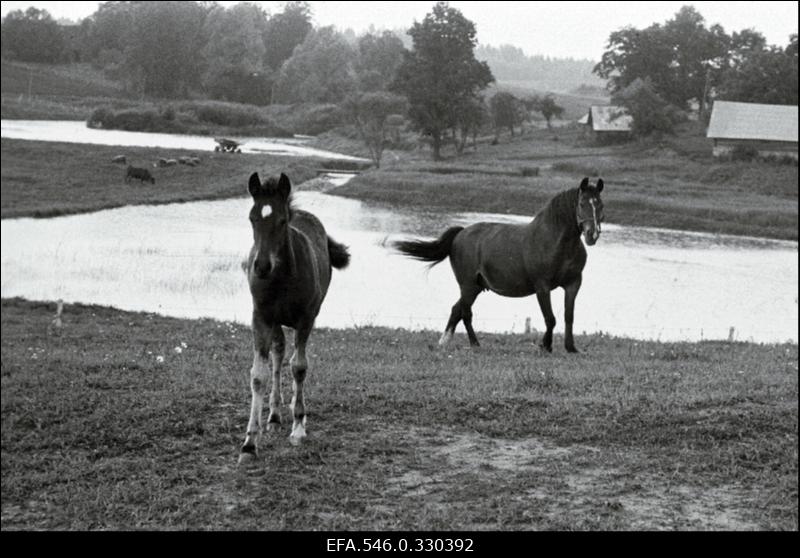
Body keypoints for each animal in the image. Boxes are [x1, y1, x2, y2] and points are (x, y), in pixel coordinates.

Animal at [239, 173, 348, 466]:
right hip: (276, 322)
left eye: (281, 221)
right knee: (278, 354)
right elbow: (259, 375)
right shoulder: (261, 317)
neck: (281, 277)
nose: (260, 266)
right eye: (252, 218)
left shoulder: (305, 318)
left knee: (288, 358)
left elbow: (299, 367)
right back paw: (274, 416)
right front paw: (249, 443)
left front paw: (298, 426)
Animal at [390, 178, 604, 354]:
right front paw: (546, 346)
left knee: (457, 309)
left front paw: (571, 348)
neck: (553, 241)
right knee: (465, 312)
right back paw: (473, 344)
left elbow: (569, 316)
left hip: (476, 286)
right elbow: (550, 318)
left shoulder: (573, 283)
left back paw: (446, 342)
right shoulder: (542, 286)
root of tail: (460, 233)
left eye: (600, 205)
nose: (592, 235)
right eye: (582, 203)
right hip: (467, 285)